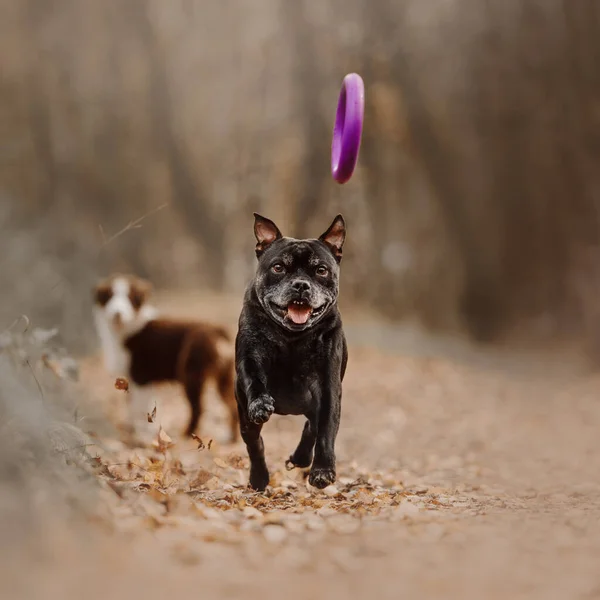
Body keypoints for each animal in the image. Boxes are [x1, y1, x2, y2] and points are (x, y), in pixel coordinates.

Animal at [92, 276, 238, 440]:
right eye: (109, 296)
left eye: (130, 298)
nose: (117, 314)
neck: (126, 330)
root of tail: (218, 329)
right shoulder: (132, 380)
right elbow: (133, 406)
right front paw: (133, 429)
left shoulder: (141, 378)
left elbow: (140, 407)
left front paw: (142, 433)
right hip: (224, 376)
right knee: (232, 405)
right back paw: (231, 437)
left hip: (191, 373)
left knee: (198, 408)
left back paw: (187, 434)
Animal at [233, 216, 346, 492]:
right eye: (278, 267)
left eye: (321, 270)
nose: (301, 285)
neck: (291, 337)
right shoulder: (250, 357)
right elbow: (254, 378)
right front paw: (260, 403)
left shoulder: (328, 387)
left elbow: (326, 431)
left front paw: (322, 471)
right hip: (244, 419)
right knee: (255, 444)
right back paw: (259, 478)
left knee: (311, 427)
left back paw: (301, 458)